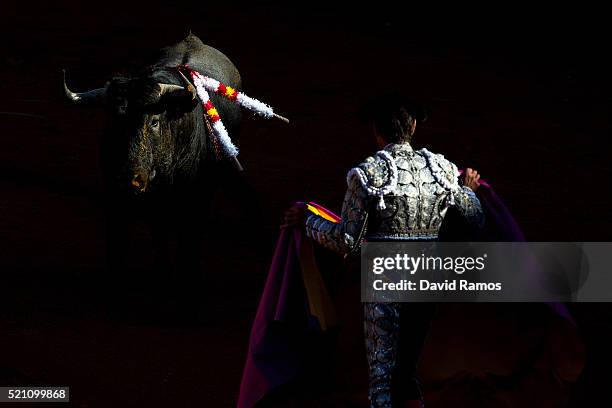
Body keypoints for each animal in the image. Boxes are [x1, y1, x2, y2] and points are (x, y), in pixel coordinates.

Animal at [64, 35, 260, 310]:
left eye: (154, 121)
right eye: (114, 121)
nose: (130, 179)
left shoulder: (193, 198)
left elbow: (187, 239)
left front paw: (188, 285)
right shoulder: (116, 198)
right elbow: (122, 242)